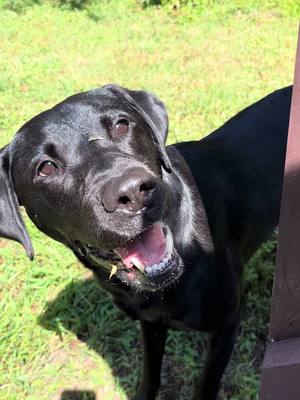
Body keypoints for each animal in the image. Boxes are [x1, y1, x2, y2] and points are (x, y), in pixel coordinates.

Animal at [0, 83, 290, 396]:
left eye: (121, 124)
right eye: (46, 167)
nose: (131, 191)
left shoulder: (226, 325)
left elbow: (205, 385)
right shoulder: (150, 324)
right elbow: (150, 373)